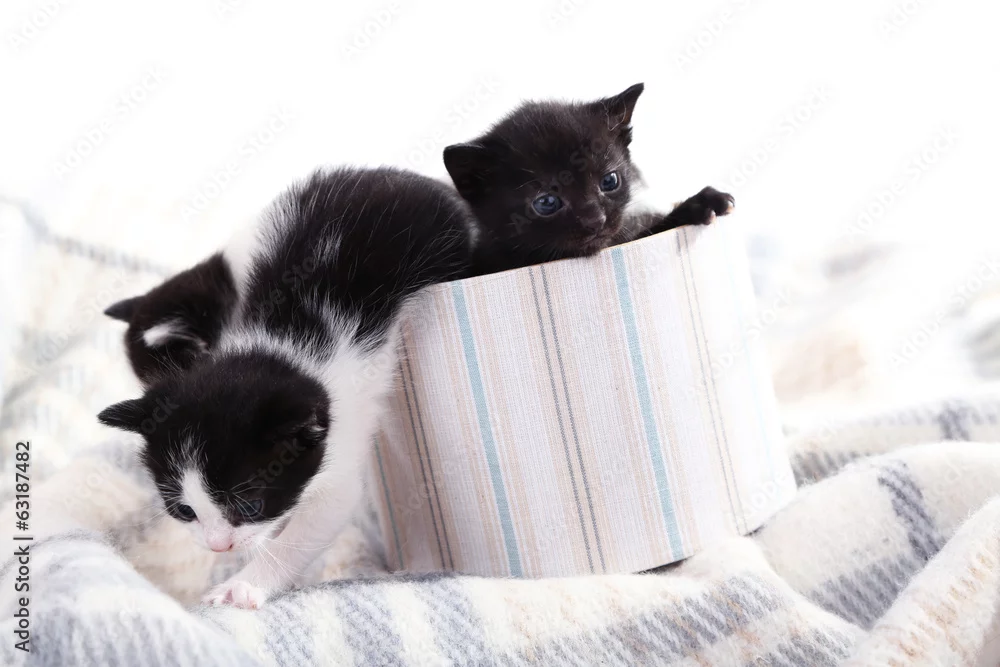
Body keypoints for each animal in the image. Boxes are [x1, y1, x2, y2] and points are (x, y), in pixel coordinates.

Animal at [98, 166, 474, 609]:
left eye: (250, 505)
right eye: (185, 511)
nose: (219, 546)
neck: (278, 350)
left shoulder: (340, 443)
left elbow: (312, 523)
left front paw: (246, 584)